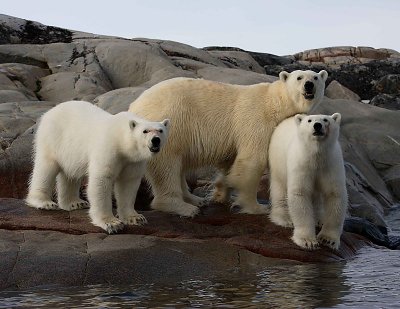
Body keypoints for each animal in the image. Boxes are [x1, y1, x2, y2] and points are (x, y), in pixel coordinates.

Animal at [25, 100, 169, 232]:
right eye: (145, 131)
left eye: (161, 130)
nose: (155, 140)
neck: (121, 138)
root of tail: (50, 112)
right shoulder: (108, 148)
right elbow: (101, 181)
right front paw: (111, 223)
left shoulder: (132, 161)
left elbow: (128, 184)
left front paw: (136, 218)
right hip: (53, 138)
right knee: (46, 168)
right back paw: (44, 203)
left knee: (70, 174)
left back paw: (75, 203)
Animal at [130, 69, 330, 217]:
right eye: (299, 77)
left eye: (315, 77)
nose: (309, 85)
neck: (275, 102)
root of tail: (134, 105)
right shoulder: (257, 119)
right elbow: (252, 161)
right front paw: (257, 207)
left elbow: (230, 162)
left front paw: (220, 193)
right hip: (166, 124)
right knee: (166, 165)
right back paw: (184, 207)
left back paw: (194, 199)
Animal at [268, 112, 346, 249]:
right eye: (309, 120)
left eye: (325, 120)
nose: (317, 125)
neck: (316, 155)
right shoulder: (301, 164)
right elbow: (300, 193)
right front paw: (307, 241)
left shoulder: (331, 164)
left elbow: (334, 195)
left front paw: (328, 239)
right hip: (278, 160)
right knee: (279, 188)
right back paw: (285, 219)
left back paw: (319, 219)